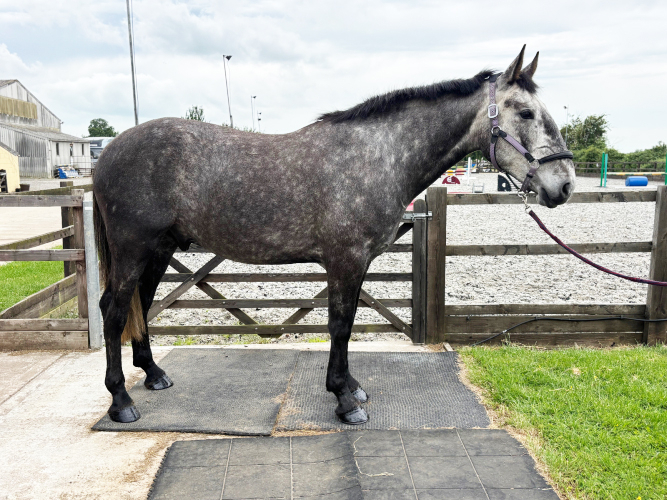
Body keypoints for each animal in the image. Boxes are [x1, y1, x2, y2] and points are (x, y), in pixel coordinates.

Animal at [93, 46, 575, 425]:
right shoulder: (346, 260)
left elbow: (348, 322)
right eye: (526, 113)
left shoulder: (356, 264)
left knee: (141, 306)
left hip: (158, 251)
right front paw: (344, 399)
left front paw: (351, 387)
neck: (377, 157)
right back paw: (121, 401)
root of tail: (109, 151)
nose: (565, 185)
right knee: (114, 311)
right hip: (133, 250)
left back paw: (154, 375)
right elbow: (340, 325)